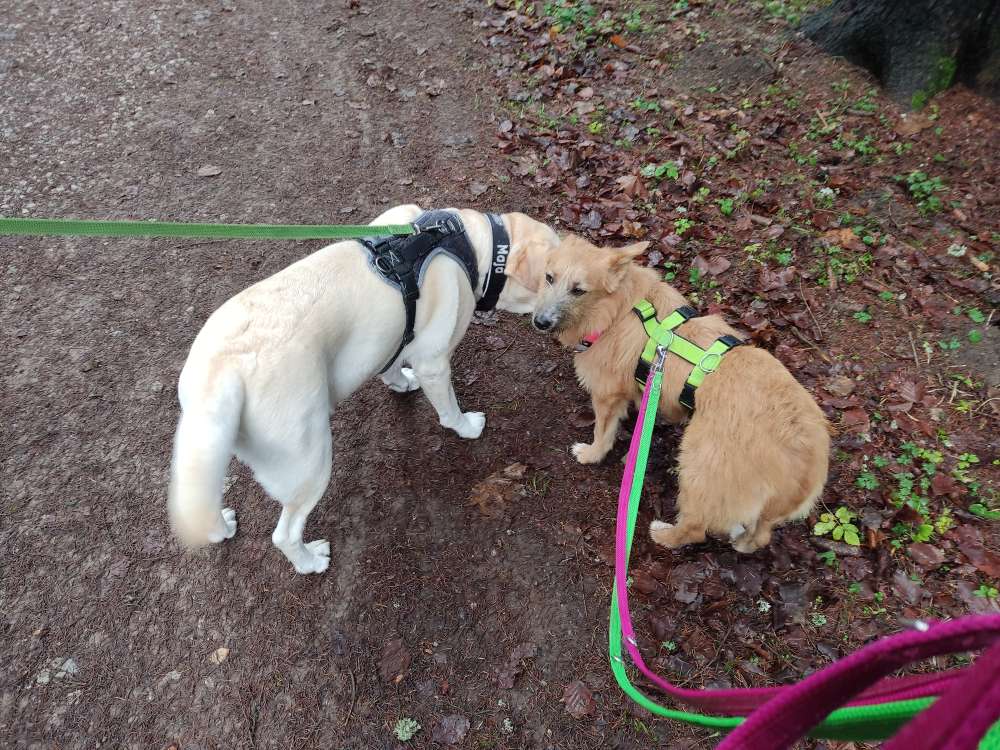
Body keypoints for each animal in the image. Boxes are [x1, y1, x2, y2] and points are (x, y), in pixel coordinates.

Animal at [168, 206, 560, 576]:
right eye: (554, 279)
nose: (554, 324)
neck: (472, 244)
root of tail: (226, 370)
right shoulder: (433, 361)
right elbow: (449, 411)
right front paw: (467, 426)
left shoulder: (395, 338)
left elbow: (392, 367)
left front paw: (401, 383)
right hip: (310, 461)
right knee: (285, 533)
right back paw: (310, 562)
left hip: (208, 448)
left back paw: (221, 528)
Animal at [512, 238, 832, 556]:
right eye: (549, 277)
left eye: (579, 290)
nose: (540, 322)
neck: (621, 308)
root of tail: (808, 460)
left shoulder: (606, 395)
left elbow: (603, 434)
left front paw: (591, 454)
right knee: (760, 535)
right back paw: (741, 542)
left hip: (698, 469)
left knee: (696, 529)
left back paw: (664, 535)